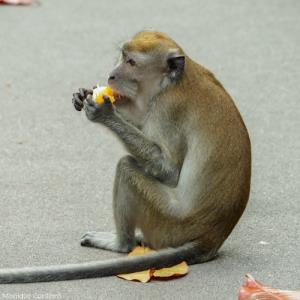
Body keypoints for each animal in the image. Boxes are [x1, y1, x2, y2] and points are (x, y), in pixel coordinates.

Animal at [0, 30, 251, 284]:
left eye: (131, 62)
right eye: (122, 56)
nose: (111, 75)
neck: (170, 83)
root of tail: (211, 237)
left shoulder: (167, 109)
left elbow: (169, 171)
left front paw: (104, 113)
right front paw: (85, 95)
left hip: (168, 223)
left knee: (126, 167)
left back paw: (121, 244)